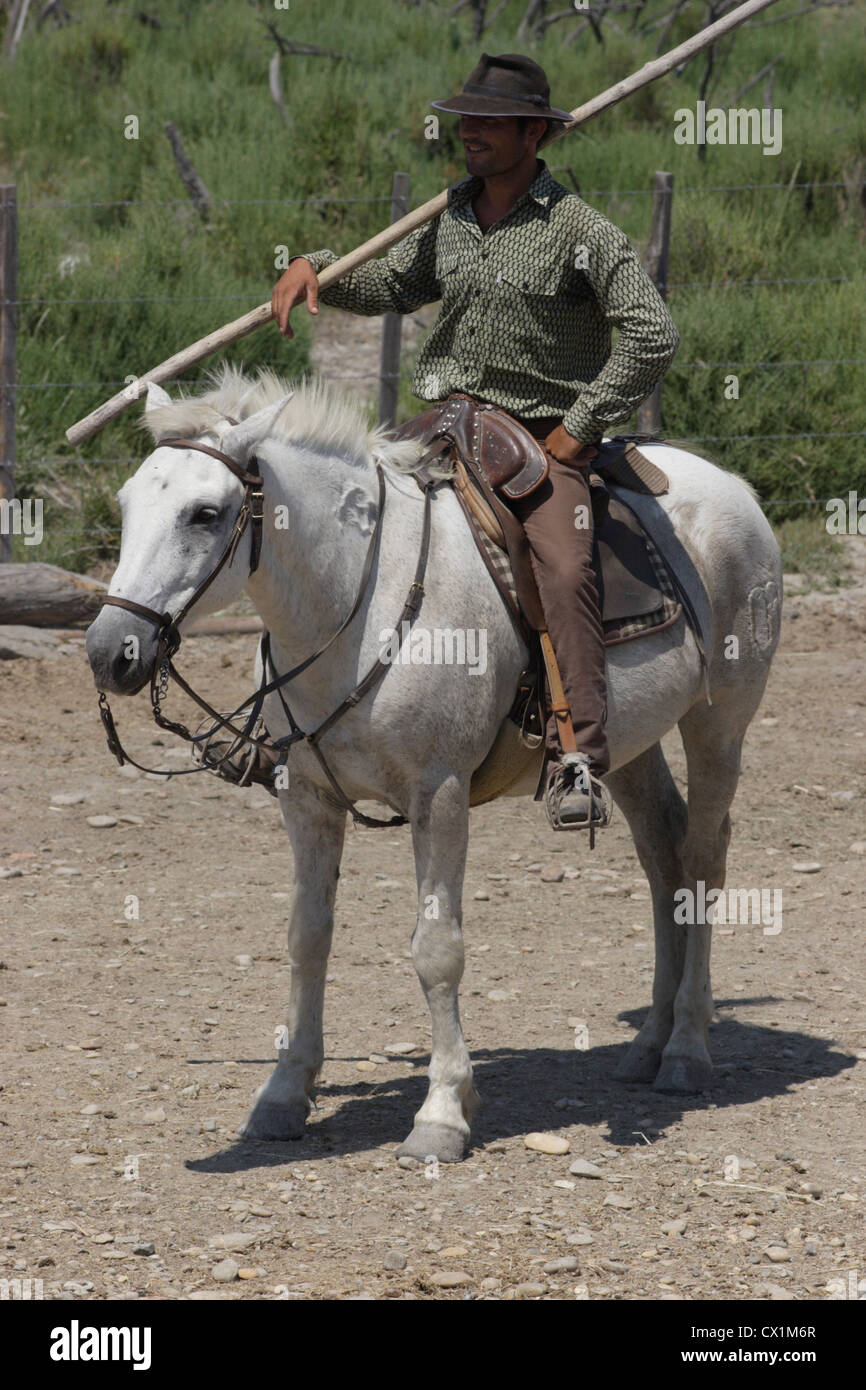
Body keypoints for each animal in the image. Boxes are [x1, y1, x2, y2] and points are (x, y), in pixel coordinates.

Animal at [88, 369, 783, 1162]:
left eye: (205, 514)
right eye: (129, 504)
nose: (109, 652)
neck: (362, 603)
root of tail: (729, 486)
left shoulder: (439, 796)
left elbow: (436, 950)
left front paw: (443, 1112)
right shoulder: (308, 801)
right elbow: (307, 938)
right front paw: (284, 1095)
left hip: (720, 720)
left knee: (701, 857)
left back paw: (687, 1050)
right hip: (631, 741)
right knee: (662, 850)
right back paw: (648, 1045)